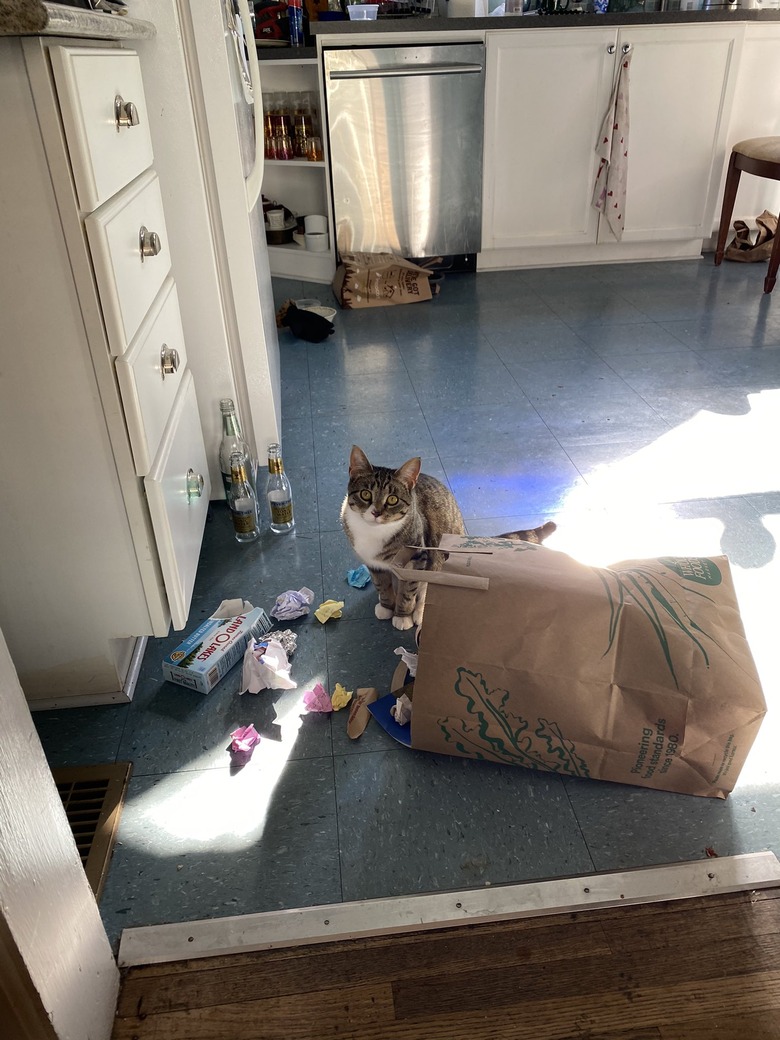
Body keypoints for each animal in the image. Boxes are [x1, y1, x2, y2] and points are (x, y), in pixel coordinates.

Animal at [341, 443, 557, 628]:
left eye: (392, 499)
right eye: (366, 494)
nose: (376, 512)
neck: (373, 532)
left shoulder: (417, 557)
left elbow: (409, 589)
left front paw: (402, 615)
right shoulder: (372, 562)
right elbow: (381, 584)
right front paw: (386, 606)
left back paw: (420, 612)